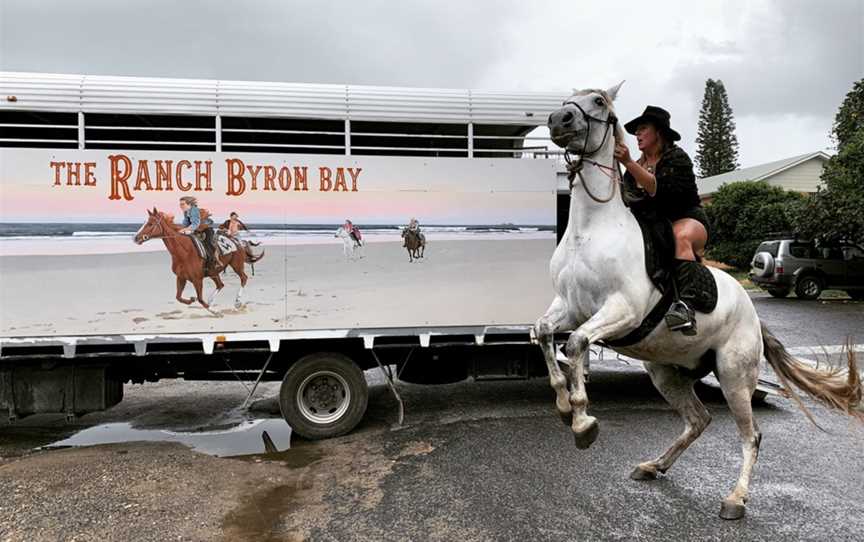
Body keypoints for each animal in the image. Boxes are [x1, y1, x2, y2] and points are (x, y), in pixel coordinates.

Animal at [132, 209, 264, 314]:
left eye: (150, 224)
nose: (136, 238)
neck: (184, 252)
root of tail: (237, 242)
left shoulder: (197, 279)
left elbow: (200, 299)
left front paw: (214, 311)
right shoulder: (181, 277)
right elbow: (178, 297)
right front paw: (192, 300)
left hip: (236, 265)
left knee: (243, 278)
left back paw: (237, 302)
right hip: (214, 272)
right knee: (220, 285)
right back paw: (211, 300)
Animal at [536, 83, 860, 520]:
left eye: (599, 102)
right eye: (568, 102)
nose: (559, 120)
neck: (592, 229)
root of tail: (752, 313)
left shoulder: (622, 310)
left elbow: (575, 344)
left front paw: (583, 420)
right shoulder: (571, 308)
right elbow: (545, 333)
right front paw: (563, 405)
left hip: (735, 376)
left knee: (751, 435)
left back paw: (735, 499)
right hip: (666, 372)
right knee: (698, 419)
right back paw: (653, 465)